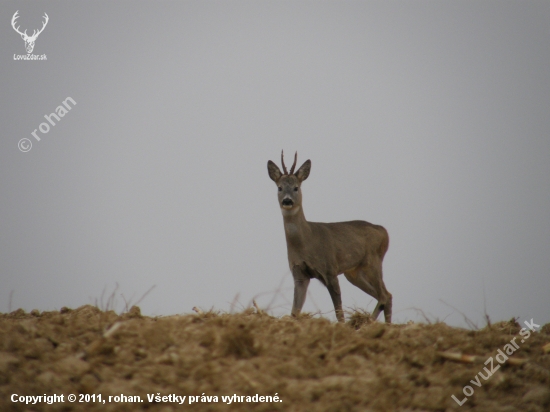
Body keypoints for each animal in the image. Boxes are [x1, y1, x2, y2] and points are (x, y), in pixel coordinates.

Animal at [268, 151, 392, 322]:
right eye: (279, 187)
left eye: (296, 187)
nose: (287, 201)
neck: (306, 241)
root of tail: (384, 231)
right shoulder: (299, 274)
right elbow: (295, 311)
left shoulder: (330, 269)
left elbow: (339, 311)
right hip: (353, 273)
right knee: (387, 295)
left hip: (373, 262)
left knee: (384, 296)